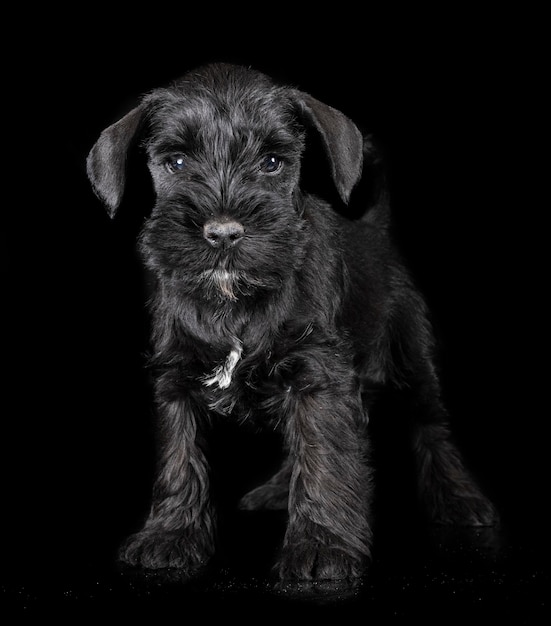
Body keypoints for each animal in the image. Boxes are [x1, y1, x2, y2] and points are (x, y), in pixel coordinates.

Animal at [87, 63, 500, 580]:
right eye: (176, 162)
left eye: (272, 163)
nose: (223, 232)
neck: (235, 304)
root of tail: (375, 230)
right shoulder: (176, 377)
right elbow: (179, 457)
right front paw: (169, 534)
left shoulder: (319, 375)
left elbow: (323, 454)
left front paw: (321, 545)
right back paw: (275, 491)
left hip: (412, 359)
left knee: (432, 428)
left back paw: (461, 500)